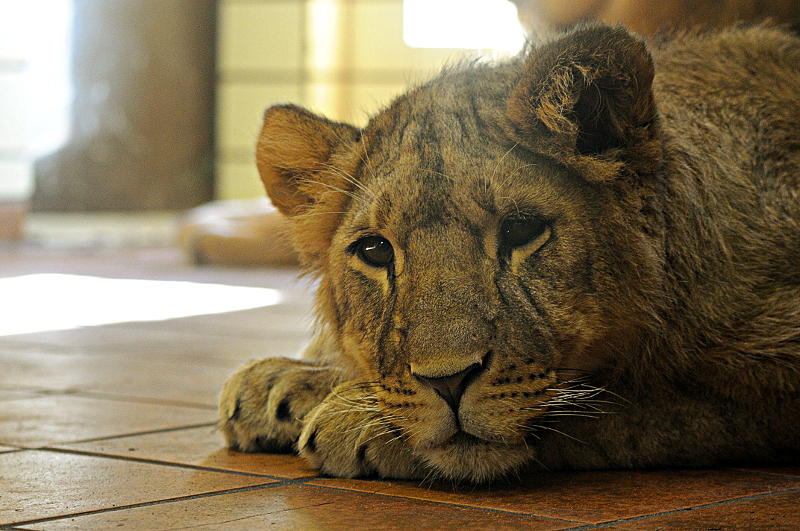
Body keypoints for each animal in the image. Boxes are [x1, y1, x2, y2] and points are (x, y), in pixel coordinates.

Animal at [219, 23, 800, 483]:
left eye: (521, 230)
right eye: (374, 251)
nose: (448, 381)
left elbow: (634, 406)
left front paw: (353, 418)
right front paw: (288, 378)